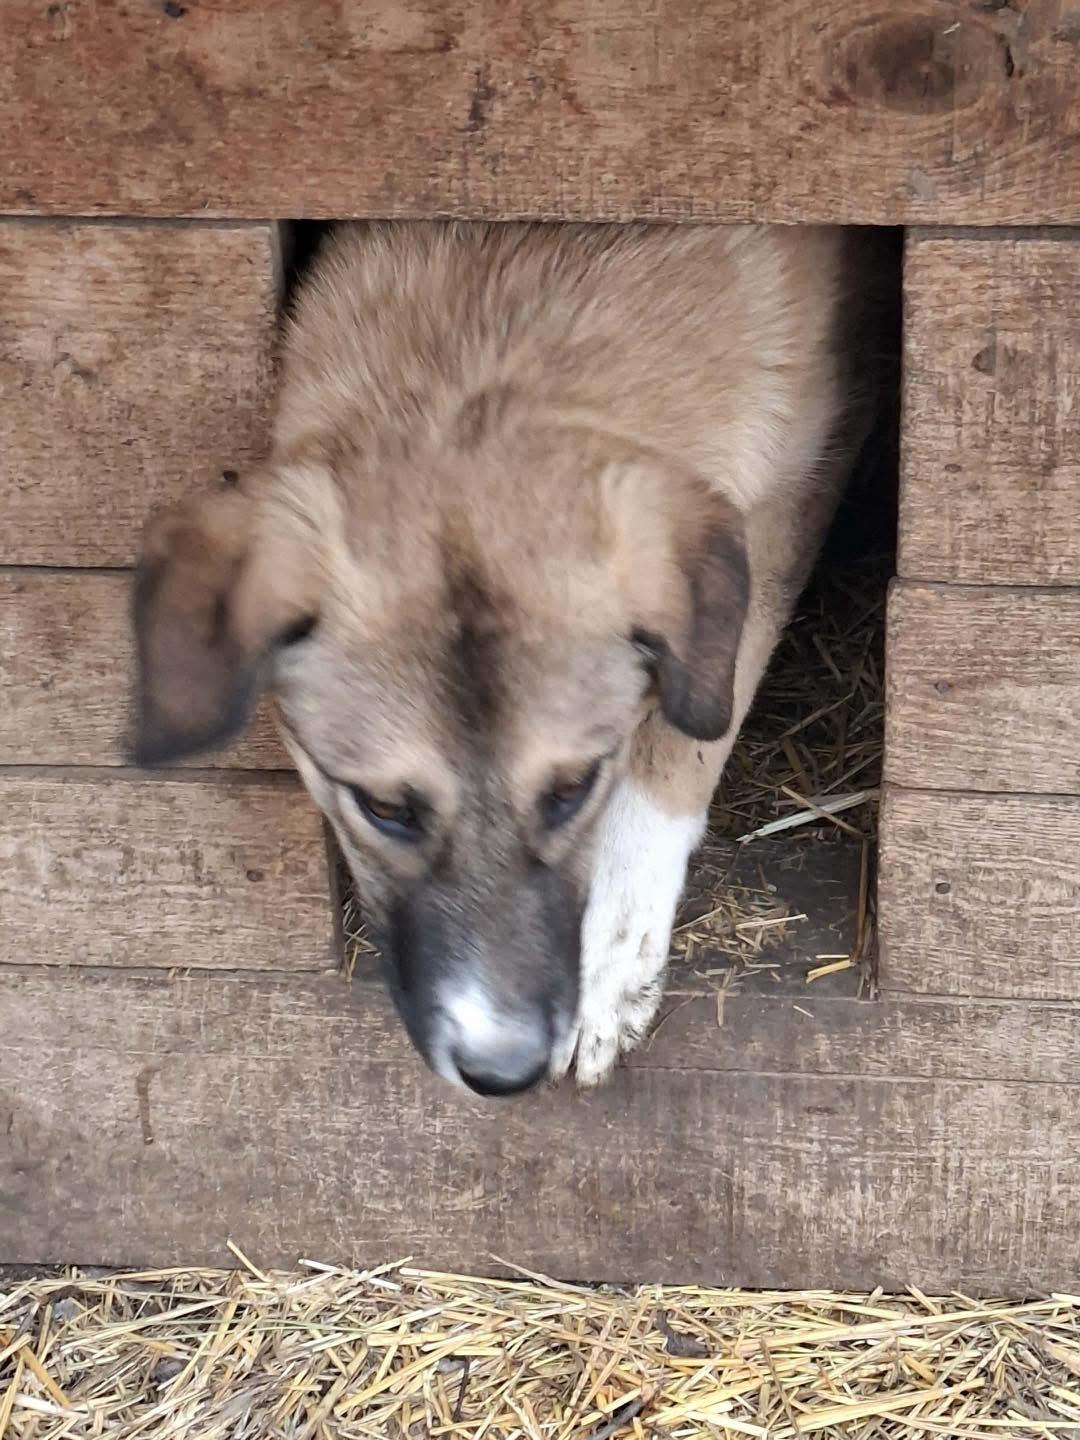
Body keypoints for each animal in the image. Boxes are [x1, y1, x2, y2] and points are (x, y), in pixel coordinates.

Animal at [132, 221, 885, 1096]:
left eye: (574, 789)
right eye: (382, 807)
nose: (502, 1071)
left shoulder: (800, 483)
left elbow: (685, 739)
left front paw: (611, 947)